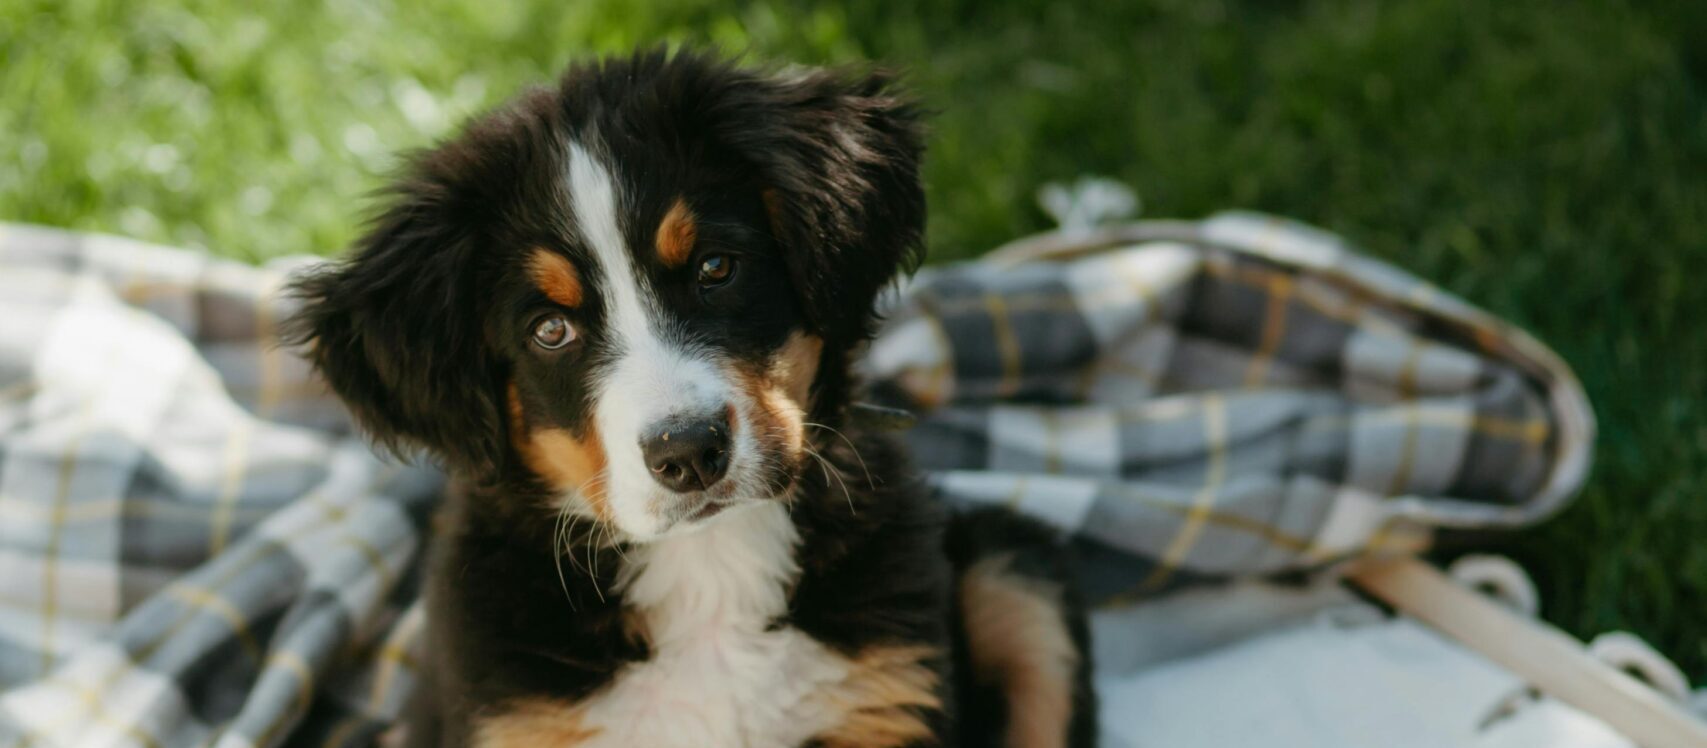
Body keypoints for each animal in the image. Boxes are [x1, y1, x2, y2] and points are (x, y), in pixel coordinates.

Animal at [288, 48, 1099, 748]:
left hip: (1014, 575)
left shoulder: (889, 698)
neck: (706, 567)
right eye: (550, 330)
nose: (688, 453)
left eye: (716, 266)